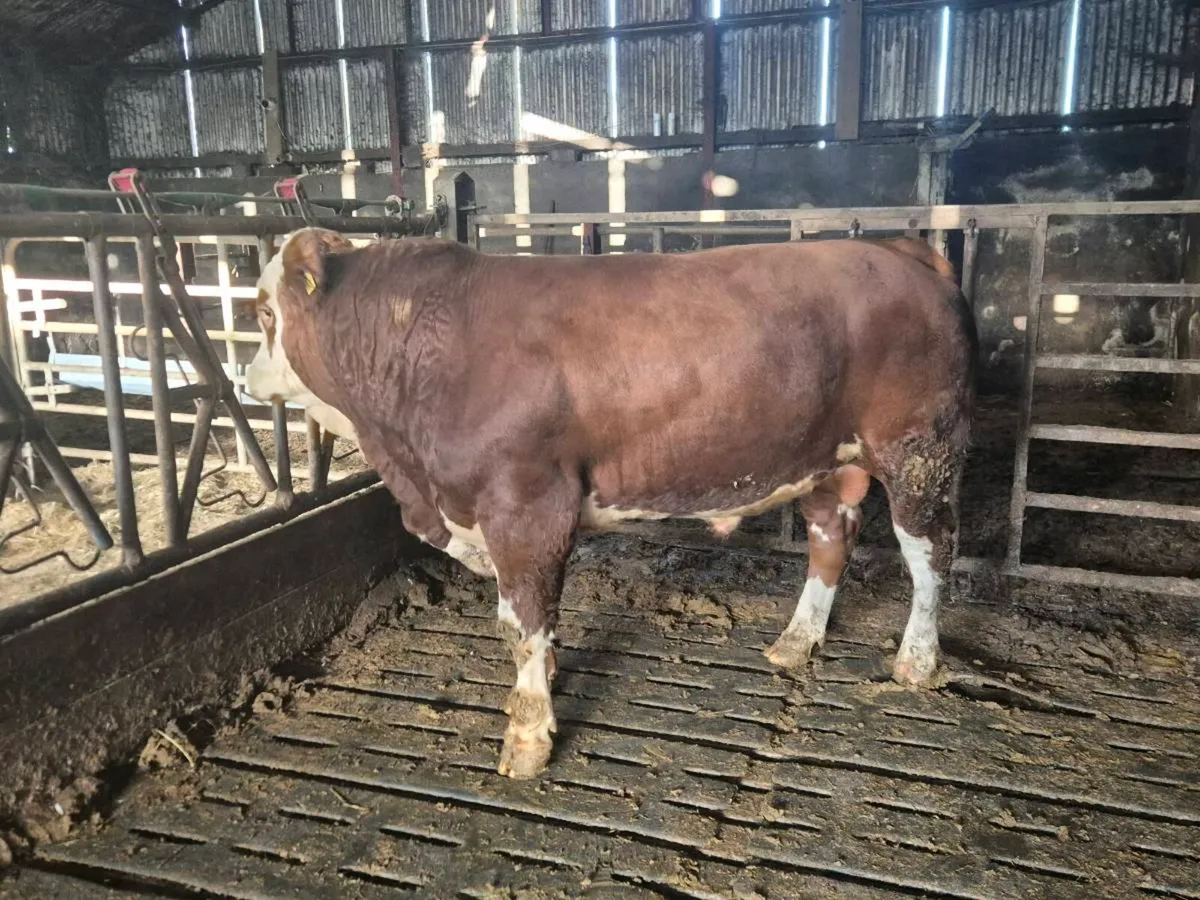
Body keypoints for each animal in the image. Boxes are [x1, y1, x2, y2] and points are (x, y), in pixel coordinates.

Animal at [246, 228, 977, 780]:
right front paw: (546, 674)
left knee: (931, 551)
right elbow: (531, 622)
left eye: (263, 311)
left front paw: (528, 736)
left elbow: (521, 621)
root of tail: (903, 251)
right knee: (832, 535)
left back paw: (917, 660)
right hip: (826, 459)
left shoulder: (527, 505)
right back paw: (796, 642)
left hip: (919, 452)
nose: (243, 375)